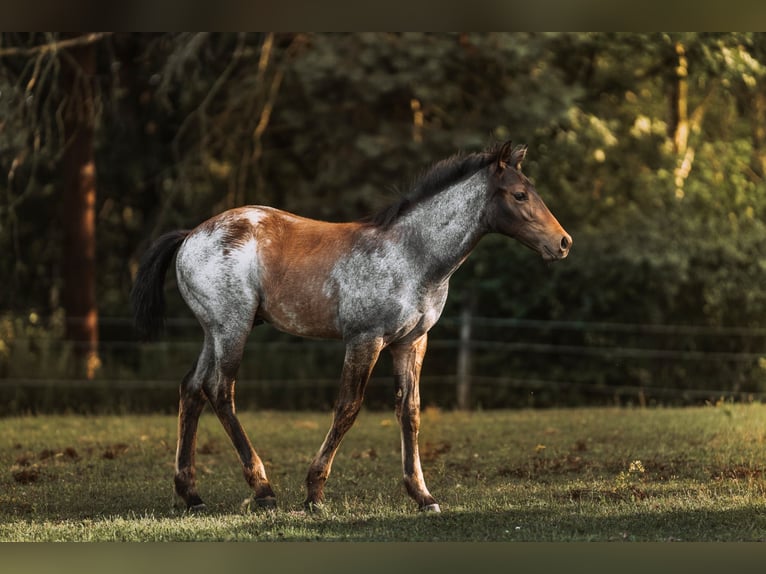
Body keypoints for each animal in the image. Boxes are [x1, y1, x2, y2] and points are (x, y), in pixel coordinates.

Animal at [132, 142, 572, 516]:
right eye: (519, 195)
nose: (563, 243)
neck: (411, 256)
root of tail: (190, 235)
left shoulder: (411, 343)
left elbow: (409, 411)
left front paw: (423, 496)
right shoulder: (365, 339)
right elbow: (348, 408)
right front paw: (314, 493)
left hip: (215, 331)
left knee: (192, 389)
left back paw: (191, 494)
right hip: (233, 327)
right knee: (220, 390)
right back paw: (262, 489)